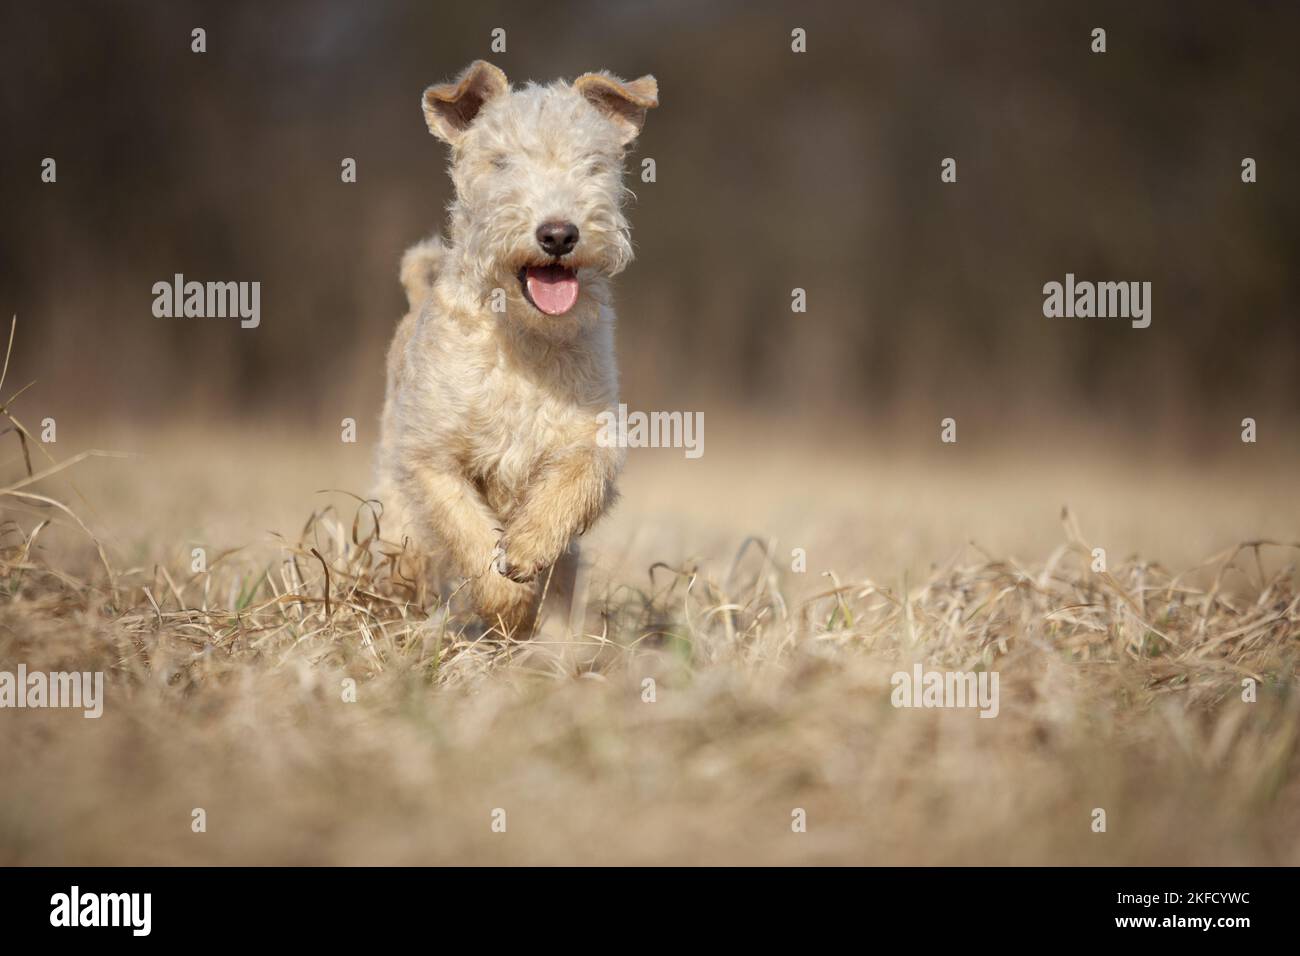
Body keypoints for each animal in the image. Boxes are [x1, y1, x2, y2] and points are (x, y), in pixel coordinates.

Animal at [377, 63, 660, 639]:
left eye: (592, 163)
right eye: (502, 162)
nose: (558, 233)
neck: (523, 341)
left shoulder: (591, 435)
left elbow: (574, 484)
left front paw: (527, 549)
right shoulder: (430, 457)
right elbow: (465, 527)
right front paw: (508, 603)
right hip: (398, 522)